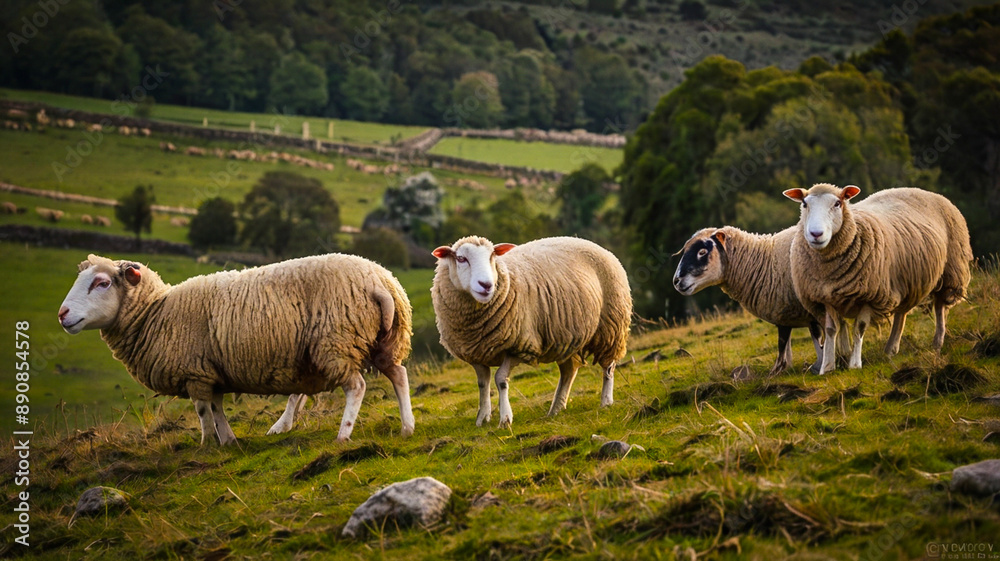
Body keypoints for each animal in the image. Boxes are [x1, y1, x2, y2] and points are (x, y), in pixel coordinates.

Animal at [57, 253, 415, 445]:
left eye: (102, 283)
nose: (62, 314)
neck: (155, 312)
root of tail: (379, 282)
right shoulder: (209, 371)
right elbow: (216, 408)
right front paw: (227, 441)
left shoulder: (194, 372)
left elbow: (203, 411)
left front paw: (206, 444)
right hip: (383, 340)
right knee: (398, 375)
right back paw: (407, 426)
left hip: (335, 341)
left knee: (357, 386)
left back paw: (343, 435)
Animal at [431, 236, 632, 428]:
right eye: (461, 258)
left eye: (492, 256)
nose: (486, 285)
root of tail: (596, 245)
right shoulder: (475, 354)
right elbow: (482, 384)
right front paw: (482, 418)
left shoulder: (521, 346)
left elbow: (500, 379)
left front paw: (505, 419)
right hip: (568, 336)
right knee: (568, 371)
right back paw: (556, 408)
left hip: (612, 326)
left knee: (608, 367)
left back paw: (606, 401)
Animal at [673, 226, 853, 375]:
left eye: (702, 252)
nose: (676, 281)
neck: (765, 262)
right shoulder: (794, 311)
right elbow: (808, 338)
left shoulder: (788, 310)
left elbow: (787, 342)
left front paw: (779, 370)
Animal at [784, 184, 972, 373]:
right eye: (804, 204)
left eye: (837, 203)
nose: (816, 234)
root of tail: (922, 190)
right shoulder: (824, 297)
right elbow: (830, 330)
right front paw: (827, 367)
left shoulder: (871, 296)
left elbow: (859, 327)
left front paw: (855, 364)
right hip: (904, 281)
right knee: (902, 313)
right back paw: (891, 349)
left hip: (950, 271)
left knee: (939, 307)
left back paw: (937, 342)